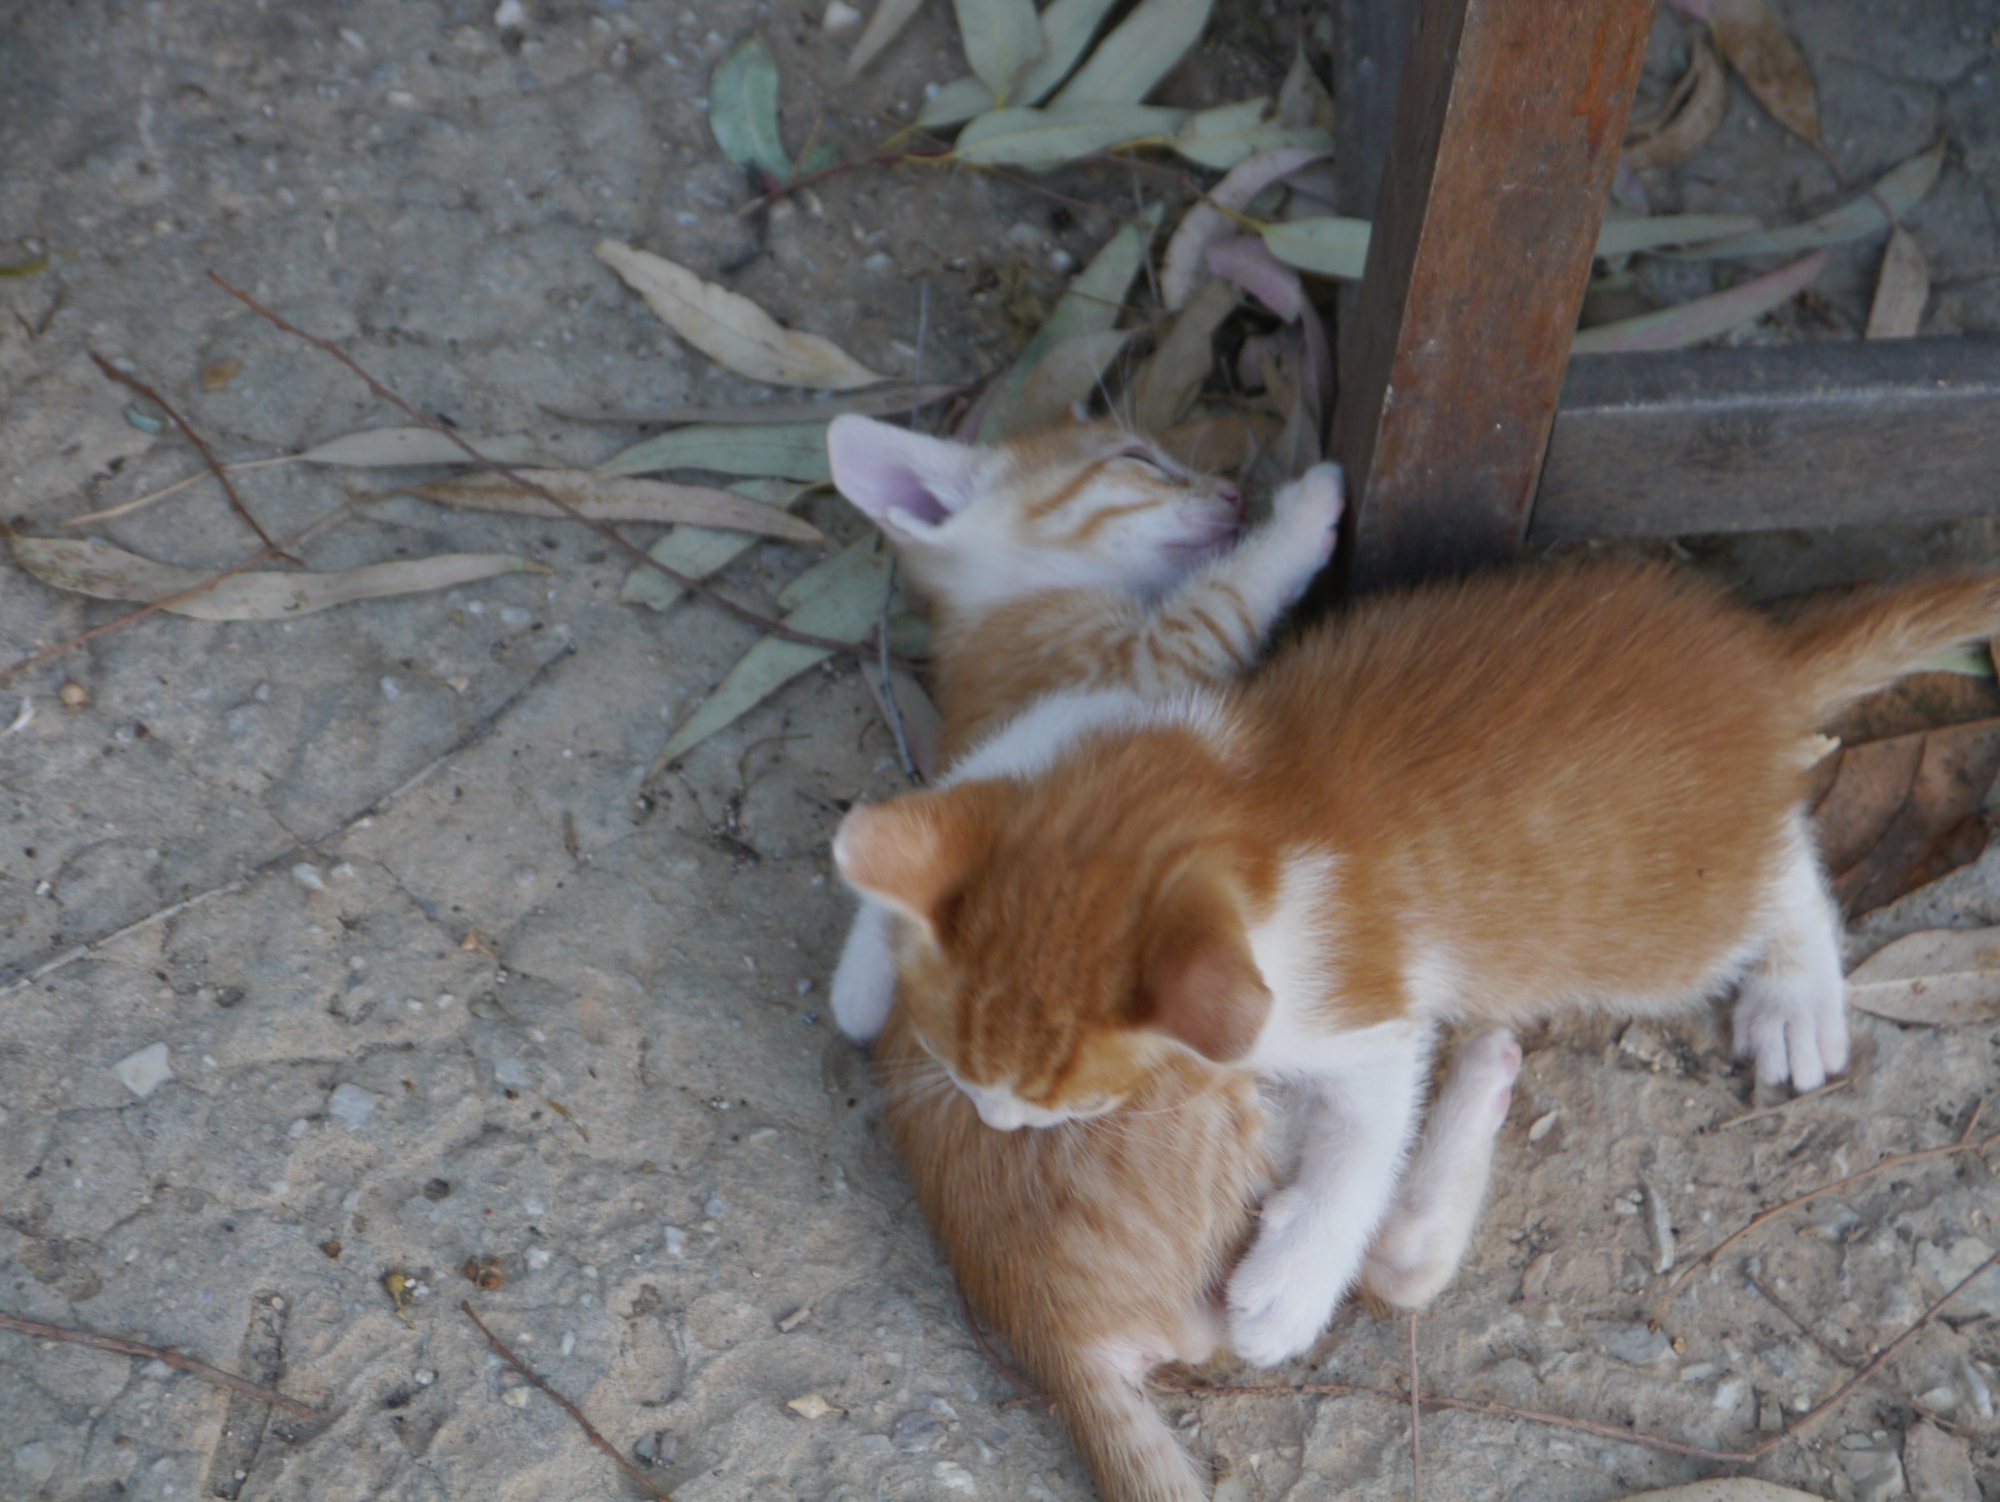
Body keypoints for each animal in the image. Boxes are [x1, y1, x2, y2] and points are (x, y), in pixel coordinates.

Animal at [824, 415, 1521, 1502]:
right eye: (1137, 460)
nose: (1231, 492)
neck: (1008, 612)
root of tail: (1050, 1330)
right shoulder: (1151, 658)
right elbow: (1226, 594)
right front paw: (1306, 511)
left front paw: (861, 981)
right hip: (1229, 1070)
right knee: (1380, 1217)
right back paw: (1471, 1080)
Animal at [831, 560, 2000, 1369]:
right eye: (963, 1074)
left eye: (1070, 1106)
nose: (994, 1125)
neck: (1254, 808)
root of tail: (1760, 669)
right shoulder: (1112, 726)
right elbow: (975, 772)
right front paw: (868, 962)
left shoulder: (1353, 998)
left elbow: (1368, 1125)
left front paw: (1290, 1288)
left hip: (1664, 928)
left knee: (1787, 858)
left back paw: (1795, 989)